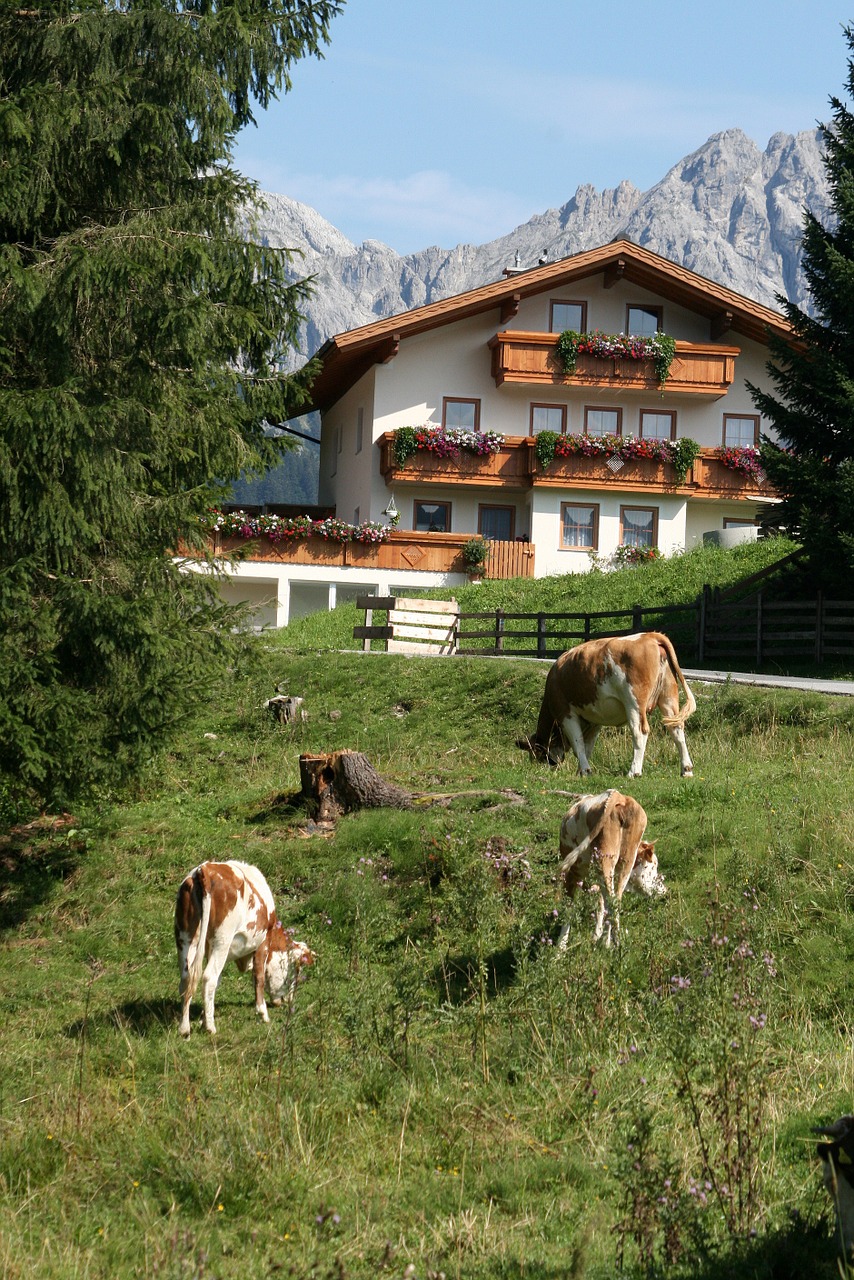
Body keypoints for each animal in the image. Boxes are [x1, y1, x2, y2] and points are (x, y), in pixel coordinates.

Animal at [175, 860, 316, 1039]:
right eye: (294, 973)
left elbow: (218, 982)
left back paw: (184, 1028)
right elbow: (259, 976)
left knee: (187, 979)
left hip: (185, 937)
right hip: (222, 939)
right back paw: (211, 1028)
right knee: (208, 978)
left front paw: (204, 1018)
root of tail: (205, 870)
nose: (288, 1000)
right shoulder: (263, 941)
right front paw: (262, 1013)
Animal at [522, 627, 696, 773]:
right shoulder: (594, 720)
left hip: (634, 702)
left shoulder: (565, 712)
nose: (549, 765)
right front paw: (582, 771)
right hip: (668, 697)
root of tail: (650, 636)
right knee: (677, 729)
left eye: (536, 755)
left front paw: (584, 770)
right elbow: (587, 746)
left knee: (640, 731)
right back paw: (686, 769)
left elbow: (578, 743)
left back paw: (634, 771)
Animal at [555, 788, 665, 952]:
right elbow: (601, 905)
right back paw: (613, 943)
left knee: (612, 901)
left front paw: (560, 949)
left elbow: (570, 908)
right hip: (625, 861)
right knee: (615, 900)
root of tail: (618, 796)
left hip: (604, 860)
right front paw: (598, 937)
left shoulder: (573, 874)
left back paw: (614, 943)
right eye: (654, 865)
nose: (664, 890)